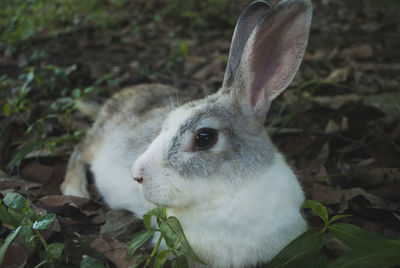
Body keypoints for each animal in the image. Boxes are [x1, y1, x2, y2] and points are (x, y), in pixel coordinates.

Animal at [61, 0, 312, 266]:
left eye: (204, 138)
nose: (136, 175)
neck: (229, 192)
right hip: (98, 139)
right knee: (78, 151)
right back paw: (74, 191)